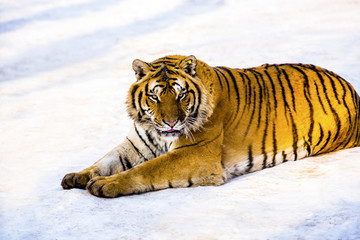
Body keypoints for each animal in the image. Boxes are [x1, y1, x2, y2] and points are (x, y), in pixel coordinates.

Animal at [61, 55, 360, 198]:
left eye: (181, 94)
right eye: (155, 96)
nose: (171, 122)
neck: (160, 133)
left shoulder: (195, 153)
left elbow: (146, 169)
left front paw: (104, 185)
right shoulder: (136, 143)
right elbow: (106, 160)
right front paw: (77, 176)